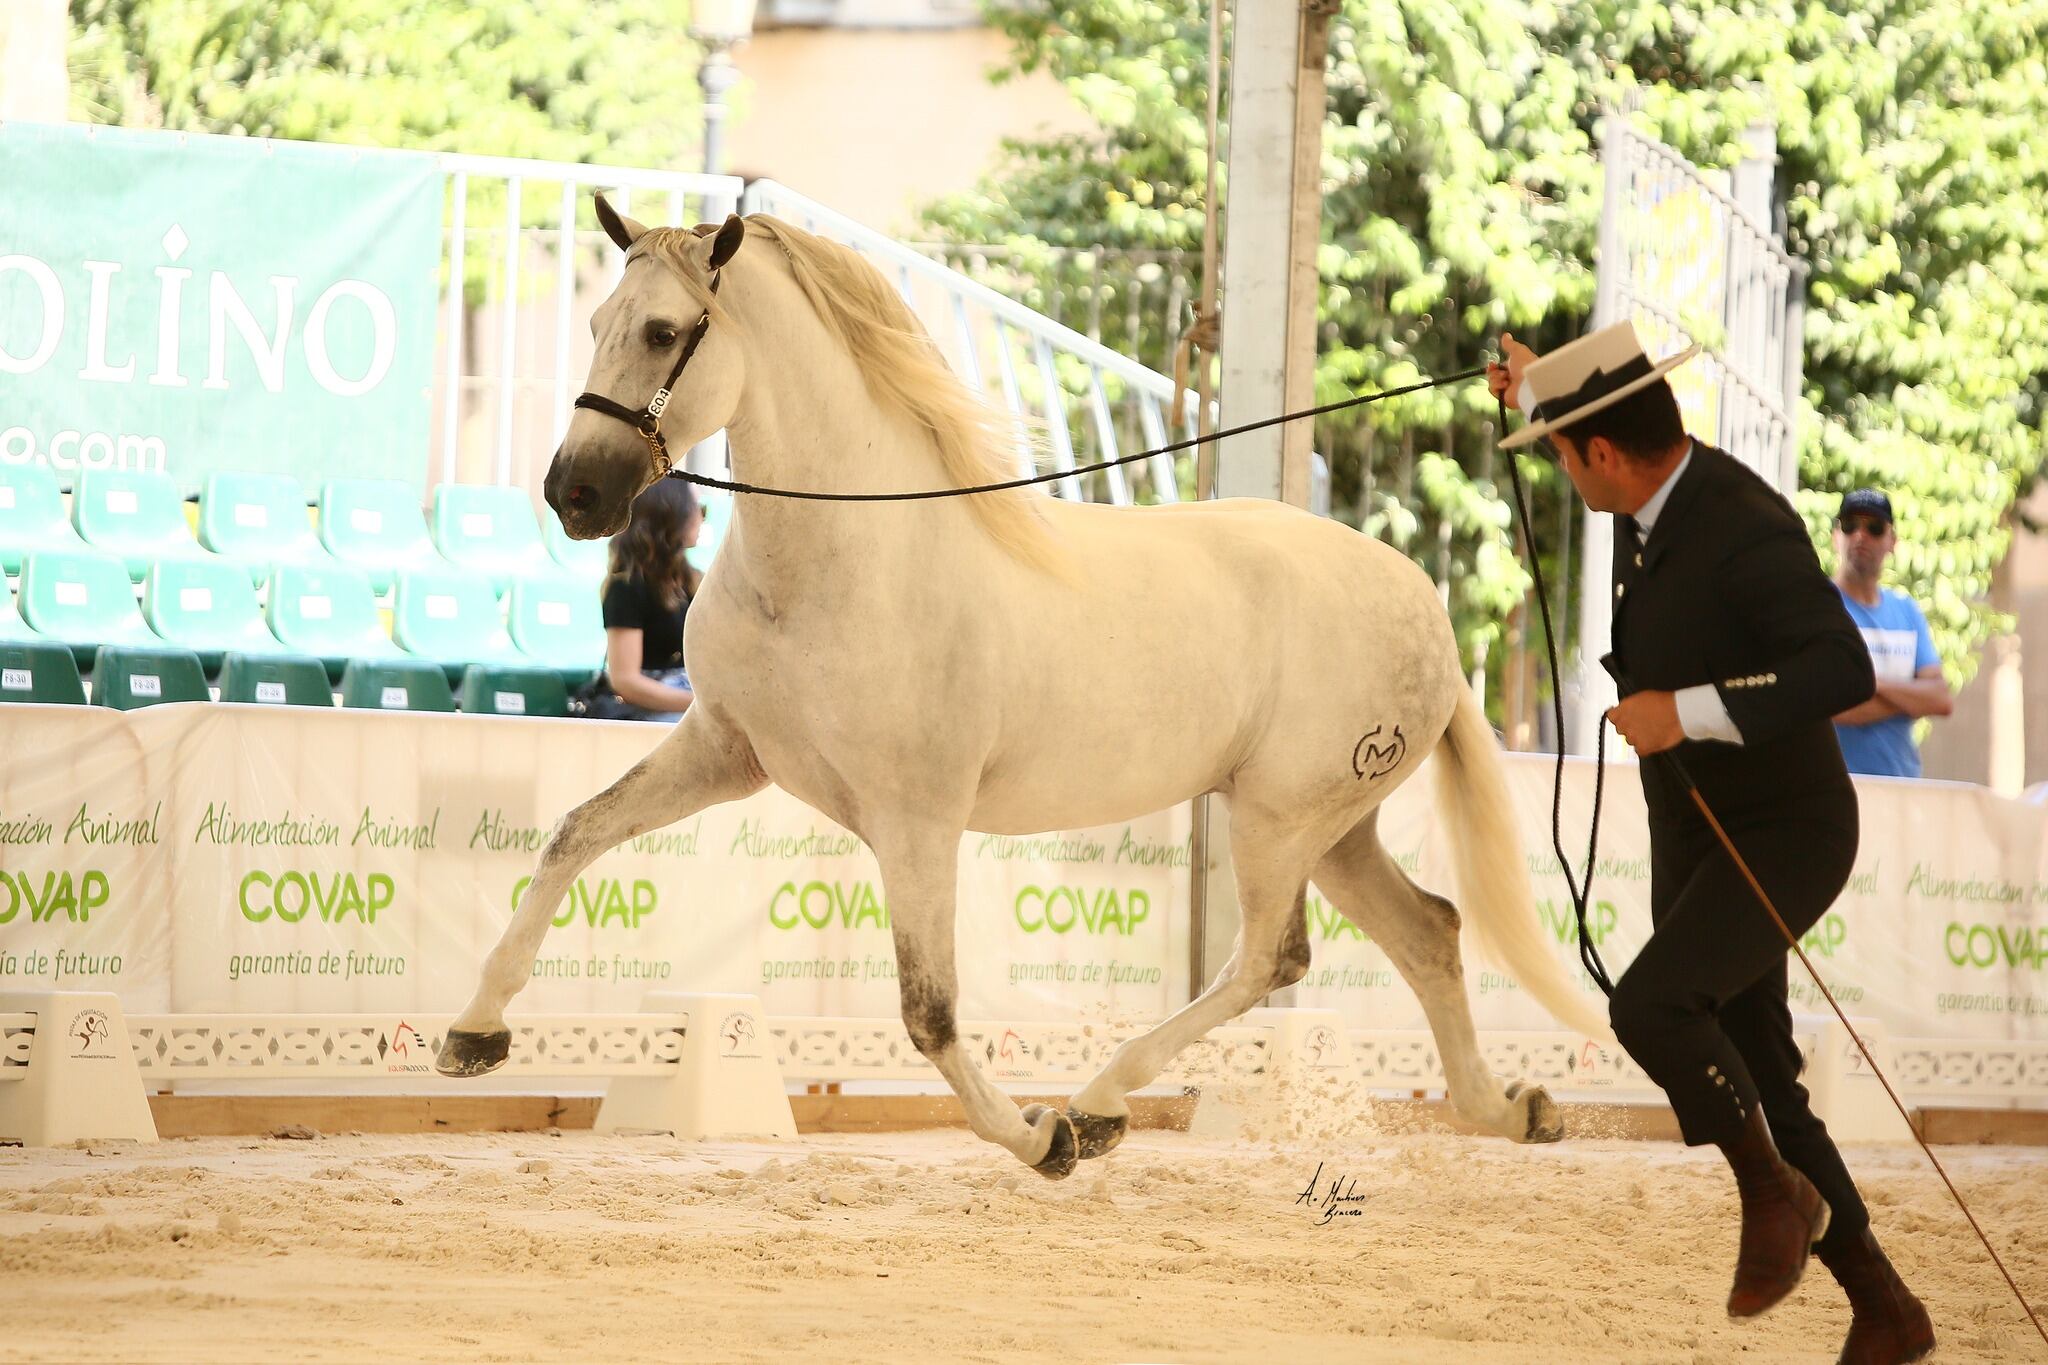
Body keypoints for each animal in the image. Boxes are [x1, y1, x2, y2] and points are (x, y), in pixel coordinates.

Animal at [440, 200, 1605, 1178]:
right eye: (599, 317)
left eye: (662, 330)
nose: (573, 493)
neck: (843, 561)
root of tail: (1423, 605)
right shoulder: (725, 750)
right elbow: (574, 836)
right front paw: (473, 1033)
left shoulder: (914, 818)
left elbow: (930, 1011)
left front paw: (1037, 1138)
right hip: (1332, 826)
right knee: (1428, 931)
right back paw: (1512, 1109)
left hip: (1281, 819)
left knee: (1268, 960)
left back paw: (1095, 1103)